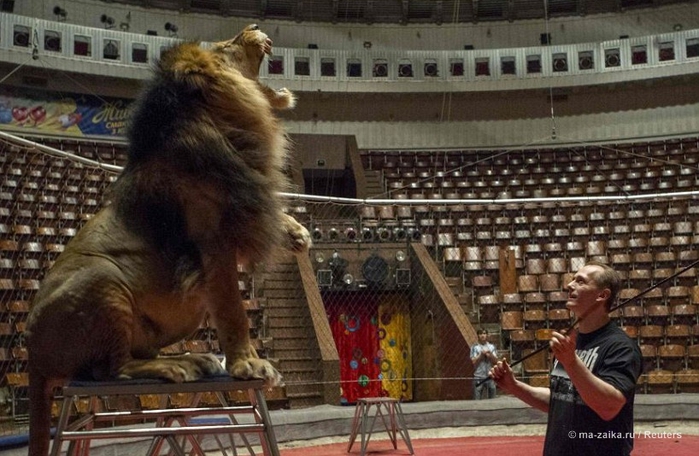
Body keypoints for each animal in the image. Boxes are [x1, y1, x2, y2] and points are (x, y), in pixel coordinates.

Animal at [26, 25, 312, 456]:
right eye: (226, 47)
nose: (252, 28)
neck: (231, 126)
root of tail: (29, 354)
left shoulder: (249, 200)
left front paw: (296, 233)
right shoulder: (214, 243)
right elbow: (233, 310)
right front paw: (248, 365)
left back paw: (196, 361)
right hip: (102, 279)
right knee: (109, 369)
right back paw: (176, 365)